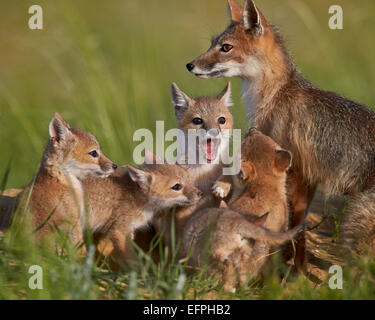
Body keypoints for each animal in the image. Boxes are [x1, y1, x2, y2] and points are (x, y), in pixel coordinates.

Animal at [188, 0, 375, 262]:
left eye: (225, 47)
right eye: (212, 43)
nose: (190, 65)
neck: (276, 95)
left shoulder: (295, 171)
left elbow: (295, 226)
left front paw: (293, 264)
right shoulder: (308, 177)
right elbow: (299, 225)